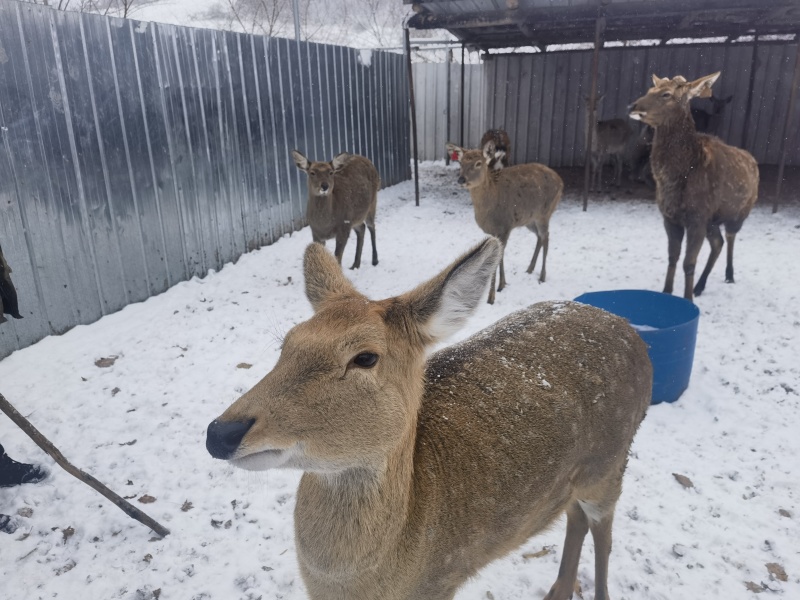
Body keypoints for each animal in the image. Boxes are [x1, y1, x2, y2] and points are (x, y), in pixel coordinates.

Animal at [206, 237, 653, 600]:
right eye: (287, 344)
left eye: (365, 357)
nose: (219, 433)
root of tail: (630, 331)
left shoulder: (441, 581)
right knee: (575, 517)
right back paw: (557, 590)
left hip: (612, 462)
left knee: (603, 531)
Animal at [445, 141, 563, 305]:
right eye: (461, 162)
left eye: (478, 163)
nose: (461, 179)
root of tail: (561, 181)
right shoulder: (496, 231)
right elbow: (499, 256)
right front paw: (502, 284)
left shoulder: (506, 225)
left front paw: (491, 297)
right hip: (529, 219)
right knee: (540, 237)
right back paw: (530, 269)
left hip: (545, 212)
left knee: (546, 237)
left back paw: (542, 276)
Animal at [628, 72, 759, 302]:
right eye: (650, 90)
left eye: (666, 94)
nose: (632, 106)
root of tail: (754, 162)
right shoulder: (670, 217)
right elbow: (673, 257)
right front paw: (667, 292)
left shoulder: (697, 217)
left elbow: (689, 263)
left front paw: (687, 299)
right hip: (712, 220)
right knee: (717, 243)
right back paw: (700, 286)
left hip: (739, 213)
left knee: (730, 237)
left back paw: (729, 275)